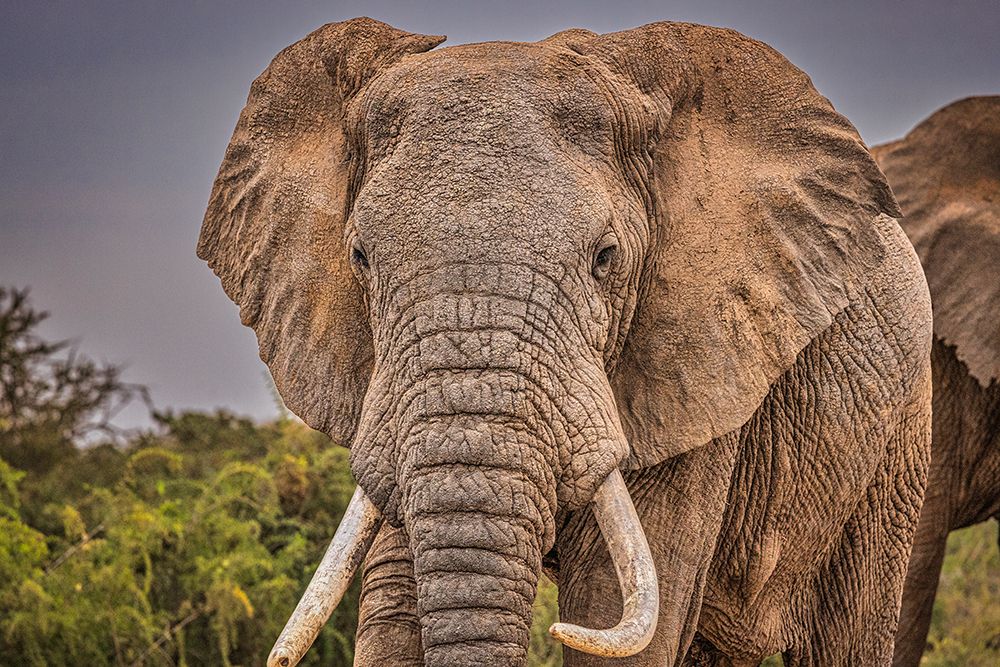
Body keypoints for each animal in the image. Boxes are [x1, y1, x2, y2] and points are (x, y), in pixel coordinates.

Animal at [198, 18, 934, 667]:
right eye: (359, 258)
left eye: (605, 258)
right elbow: (394, 603)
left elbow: (621, 605)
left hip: (897, 445)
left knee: (849, 631)